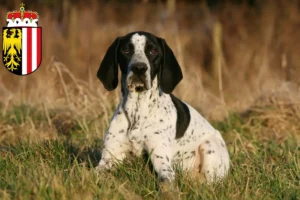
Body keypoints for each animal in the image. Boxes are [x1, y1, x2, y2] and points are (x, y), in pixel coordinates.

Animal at [96, 30, 230, 185]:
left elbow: (165, 182)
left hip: (209, 147)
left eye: (153, 51)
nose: (139, 68)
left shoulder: (161, 160)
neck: (137, 111)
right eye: (126, 50)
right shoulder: (108, 158)